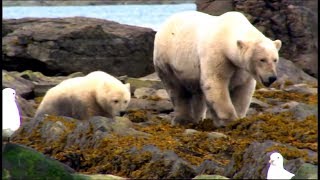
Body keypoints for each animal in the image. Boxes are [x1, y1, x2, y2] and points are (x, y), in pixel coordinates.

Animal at [154, 11, 282, 126]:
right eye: (262, 59)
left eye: (275, 59)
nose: (272, 77)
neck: (227, 32)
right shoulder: (217, 55)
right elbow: (216, 83)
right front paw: (230, 119)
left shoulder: (242, 68)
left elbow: (243, 88)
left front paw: (238, 118)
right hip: (166, 60)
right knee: (176, 90)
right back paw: (182, 120)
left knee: (197, 92)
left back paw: (198, 118)